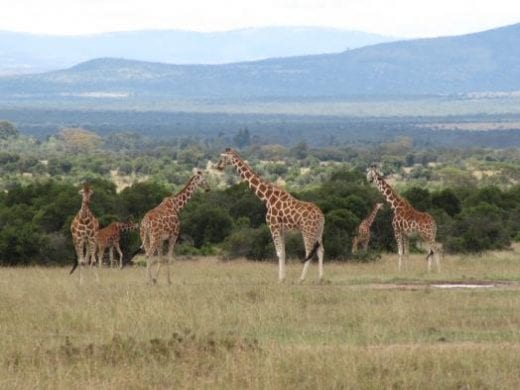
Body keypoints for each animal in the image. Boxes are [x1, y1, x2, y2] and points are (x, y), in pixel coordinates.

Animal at [216, 148, 324, 282]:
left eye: (223, 157)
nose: (218, 166)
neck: (267, 198)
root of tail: (322, 217)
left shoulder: (273, 225)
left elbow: (279, 253)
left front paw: (280, 279)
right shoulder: (281, 229)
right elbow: (283, 252)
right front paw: (283, 278)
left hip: (307, 231)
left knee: (309, 251)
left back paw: (301, 279)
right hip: (319, 232)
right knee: (320, 251)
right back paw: (320, 278)